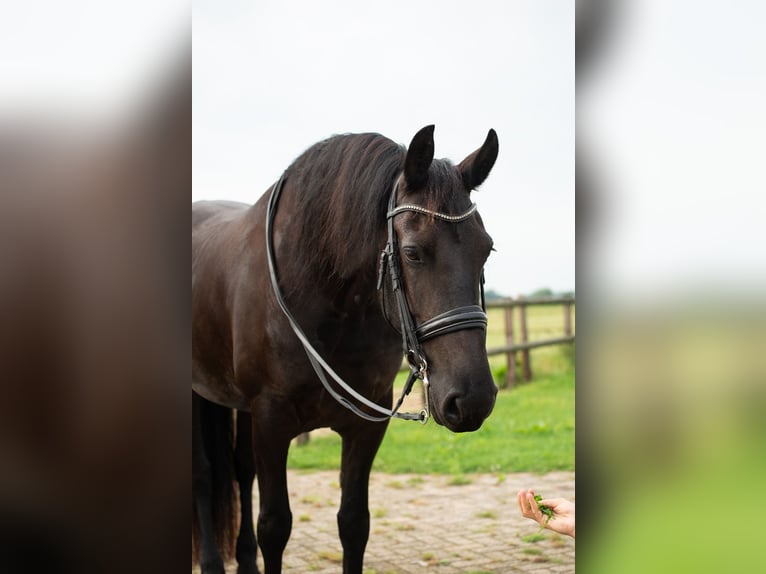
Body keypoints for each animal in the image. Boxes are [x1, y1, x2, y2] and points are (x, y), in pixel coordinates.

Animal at [194, 127, 498, 574]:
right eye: (413, 252)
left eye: (486, 249)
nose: (473, 399)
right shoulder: (271, 418)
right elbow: (275, 526)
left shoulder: (366, 423)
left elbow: (354, 523)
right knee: (204, 473)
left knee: (240, 469)